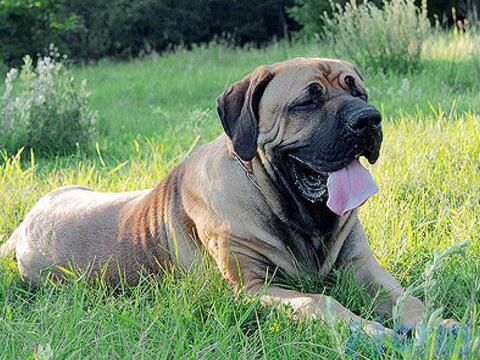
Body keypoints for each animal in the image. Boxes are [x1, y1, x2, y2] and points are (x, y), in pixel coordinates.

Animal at [0, 57, 442, 336]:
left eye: (359, 92)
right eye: (308, 100)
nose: (369, 119)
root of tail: (25, 223)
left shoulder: (361, 267)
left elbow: (410, 300)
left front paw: (441, 326)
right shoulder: (252, 288)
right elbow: (320, 302)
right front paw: (372, 331)